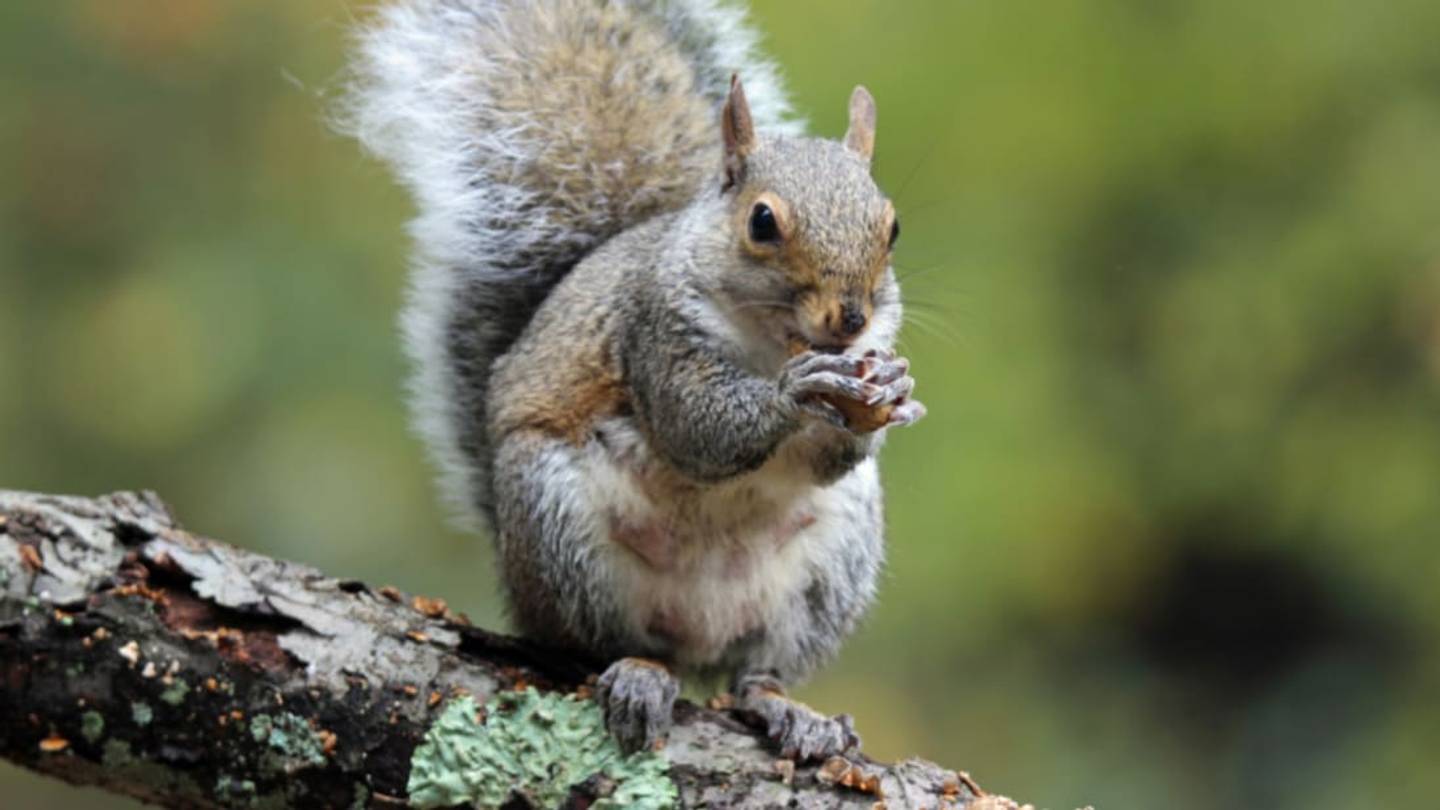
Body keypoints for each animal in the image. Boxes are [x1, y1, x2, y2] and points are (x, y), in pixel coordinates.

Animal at [342, 0, 924, 761]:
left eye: (893, 226)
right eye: (762, 221)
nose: (851, 319)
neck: (773, 342)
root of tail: (698, 634)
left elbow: (830, 458)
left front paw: (887, 392)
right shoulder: (653, 334)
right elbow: (698, 428)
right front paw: (798, 392)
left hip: (830, 570)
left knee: (756, 670)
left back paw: (786, 708)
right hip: (559, 528)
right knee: (604, 644)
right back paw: (641, 673)